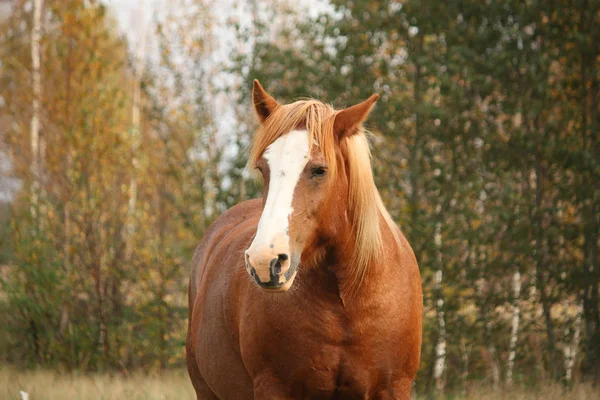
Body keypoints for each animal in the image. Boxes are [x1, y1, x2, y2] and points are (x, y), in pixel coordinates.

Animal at [186, 81, 422, 400]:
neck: (346, 300)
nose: (265, 262)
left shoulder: (394, 388)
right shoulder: (274, 389)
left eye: (320, 170)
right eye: (263, 168)